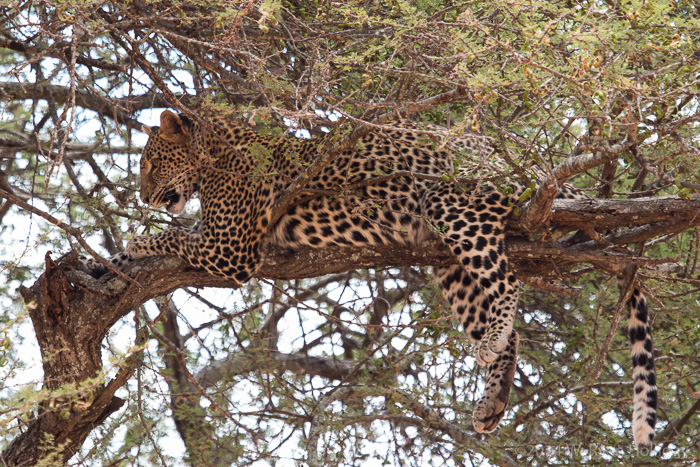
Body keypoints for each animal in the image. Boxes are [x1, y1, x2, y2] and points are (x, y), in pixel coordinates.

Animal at [89, 109, 657, 452]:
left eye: (149, 160)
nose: (140, 194)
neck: (217, 152)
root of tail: (517, 155)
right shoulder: (220, 238)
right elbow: (178, 229)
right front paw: (112, 254)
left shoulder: (229, 248)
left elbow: (173, 234)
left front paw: (133, 243)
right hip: (447, 259)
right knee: (500, 314)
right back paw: (491, 402)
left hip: (451, 203)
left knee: (507, 282)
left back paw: (493, 341)